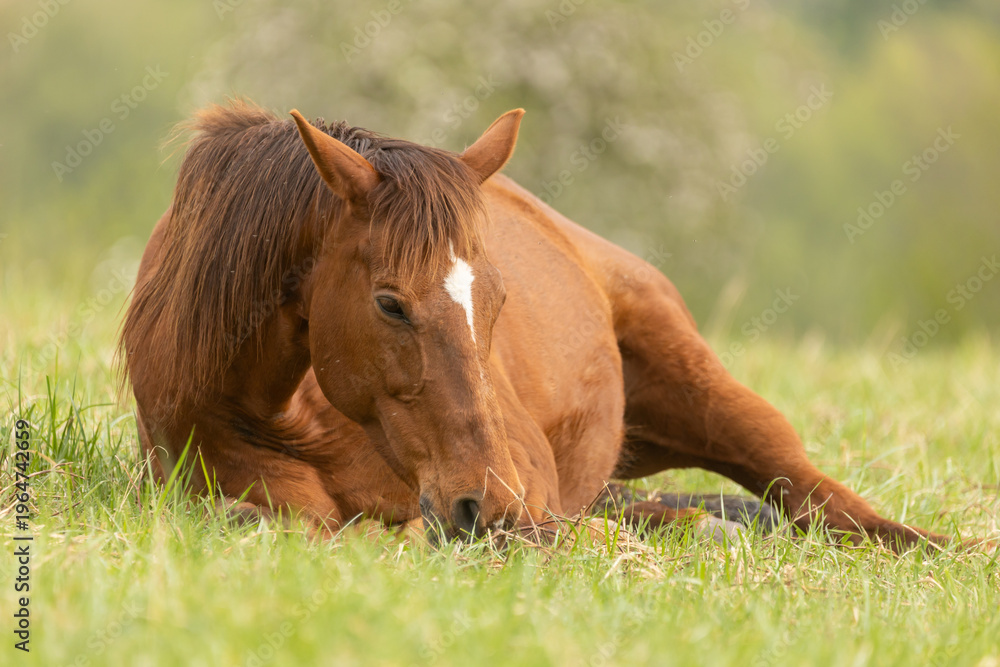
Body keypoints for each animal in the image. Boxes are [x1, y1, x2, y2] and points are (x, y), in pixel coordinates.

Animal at [119, 99, 947, 550]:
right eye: (390, 302)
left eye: (497, 298)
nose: (484, 500)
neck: (298, 414)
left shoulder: (525, 487)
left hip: (714, 401)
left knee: (822, 501)